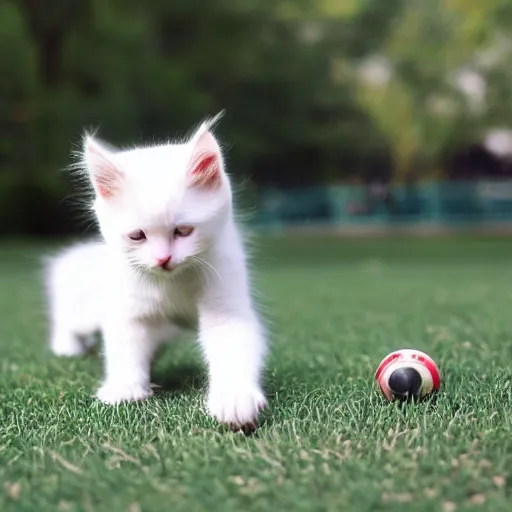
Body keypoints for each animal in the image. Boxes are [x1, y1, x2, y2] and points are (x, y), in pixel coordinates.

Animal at [45, 114, 268, 430]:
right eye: (137, 236)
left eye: (183, 231)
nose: (164, 259)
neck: (173, 282)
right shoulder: (130, 309)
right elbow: (126, 348)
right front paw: (125, 388)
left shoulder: (226, 302)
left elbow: (232, 348)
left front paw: (235, 400)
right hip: (89, 310)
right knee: (70, 319)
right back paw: (66, 347)